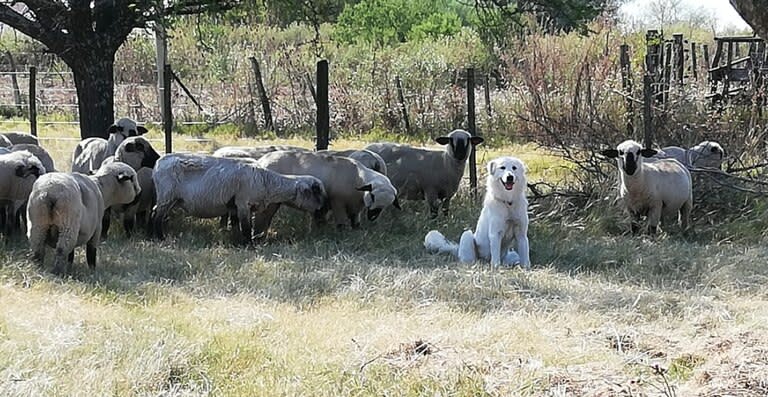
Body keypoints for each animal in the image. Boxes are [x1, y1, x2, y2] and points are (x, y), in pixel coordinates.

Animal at [152, 153, 328, 241]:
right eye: (317, 192)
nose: (323, 209)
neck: (267, 182)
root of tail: (158, 163)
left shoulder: (233, 206)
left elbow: (236, 225)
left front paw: (236, 242)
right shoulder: (243, 203)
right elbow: (246, 227)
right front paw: (249, 245)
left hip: (170, 199)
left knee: (155, 213)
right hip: (166, 196)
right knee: (156, 216)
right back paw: (159, 237)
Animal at [258, 149, 402, 230]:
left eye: (387, 204)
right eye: (372, 195)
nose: (372, 216)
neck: (358, 176)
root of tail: (262, 159)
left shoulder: (356, 208)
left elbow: (356, 223)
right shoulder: (338, 202)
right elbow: (341, 223)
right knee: (265, 216)